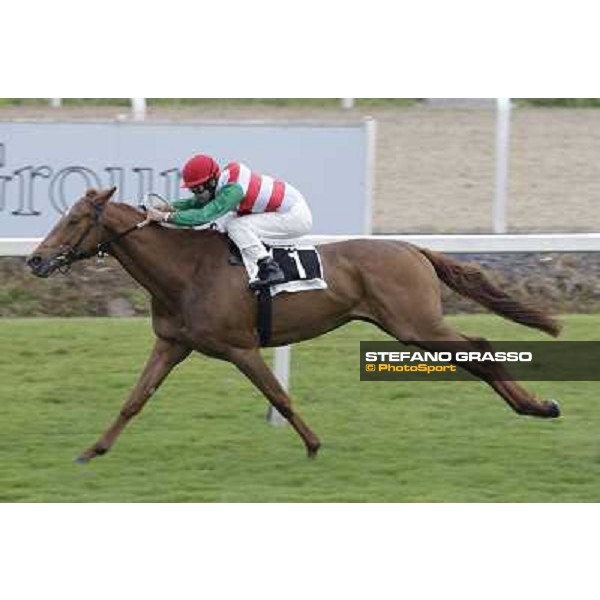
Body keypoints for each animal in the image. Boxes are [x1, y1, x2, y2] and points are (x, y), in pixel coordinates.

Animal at [29, 190, 564, 462]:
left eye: (74, 219)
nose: (35, 259)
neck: (186, 271)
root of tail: (412, 248)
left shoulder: (239, 347)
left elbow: (278, 395)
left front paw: (312, 444)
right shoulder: (172, 344)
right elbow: (135, 399)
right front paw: (93, 449)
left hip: (416, 323)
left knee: (478, 345)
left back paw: (539, 406)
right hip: (413, 326)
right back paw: (532, 407)